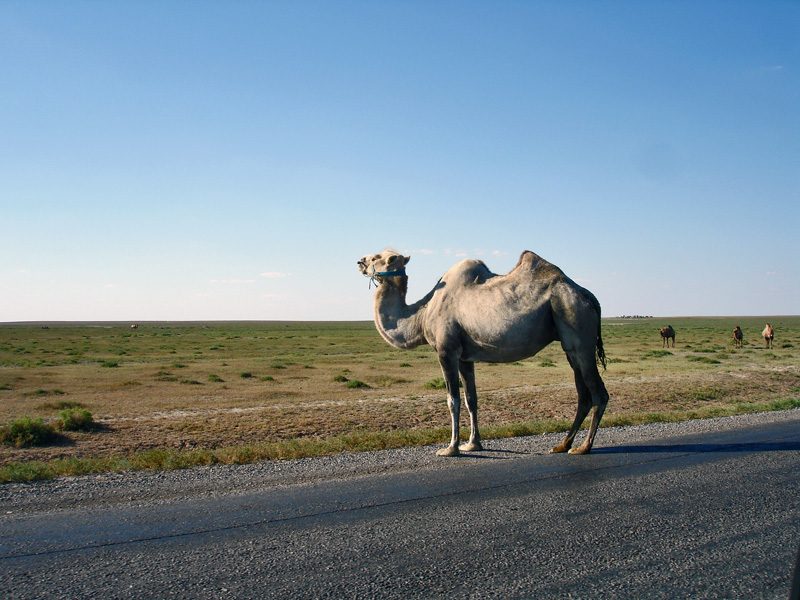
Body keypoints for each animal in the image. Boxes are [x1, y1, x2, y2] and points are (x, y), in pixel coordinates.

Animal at [357, 249, 609, 457]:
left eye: (380, 257)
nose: (360, 261)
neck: (422, 314)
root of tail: (589, 297)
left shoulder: (446, 351)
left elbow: (452, 400)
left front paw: (450, 448)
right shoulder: (464, 358)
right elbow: (472, 399)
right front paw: (472, 444)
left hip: (577, 327)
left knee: (599, 393)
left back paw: (583, 447)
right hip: (570, 345)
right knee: (583, 394)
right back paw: (562, 445)